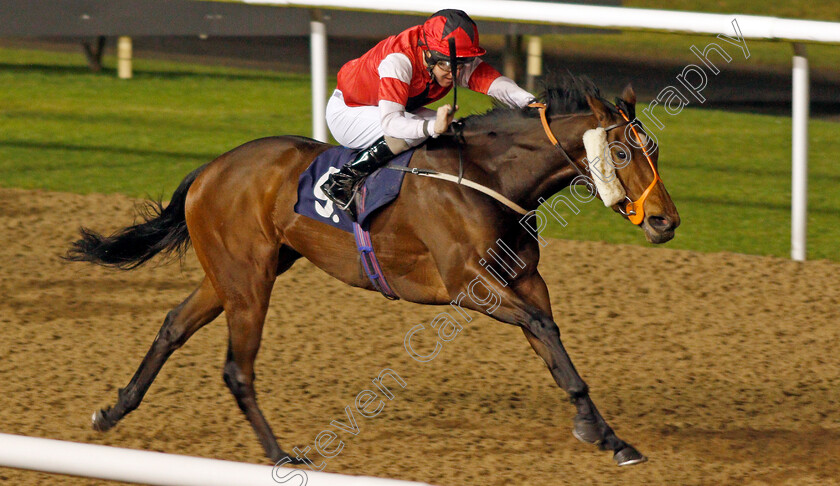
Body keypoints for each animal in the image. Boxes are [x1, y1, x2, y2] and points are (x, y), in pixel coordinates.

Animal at [67, 75, 684, 468]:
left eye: (653, 147)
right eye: (623, 153)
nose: (666, 220)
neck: (489, 177)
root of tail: (210, 169)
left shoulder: (523, 280)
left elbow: (552, 343)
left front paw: (608, 436)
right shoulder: (469, 287)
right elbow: (541, 326)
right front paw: (598, 430)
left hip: (234, 274)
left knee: (173, 324)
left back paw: (112, 411)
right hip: (248, 281)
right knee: (237, 369)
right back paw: (280, 454)